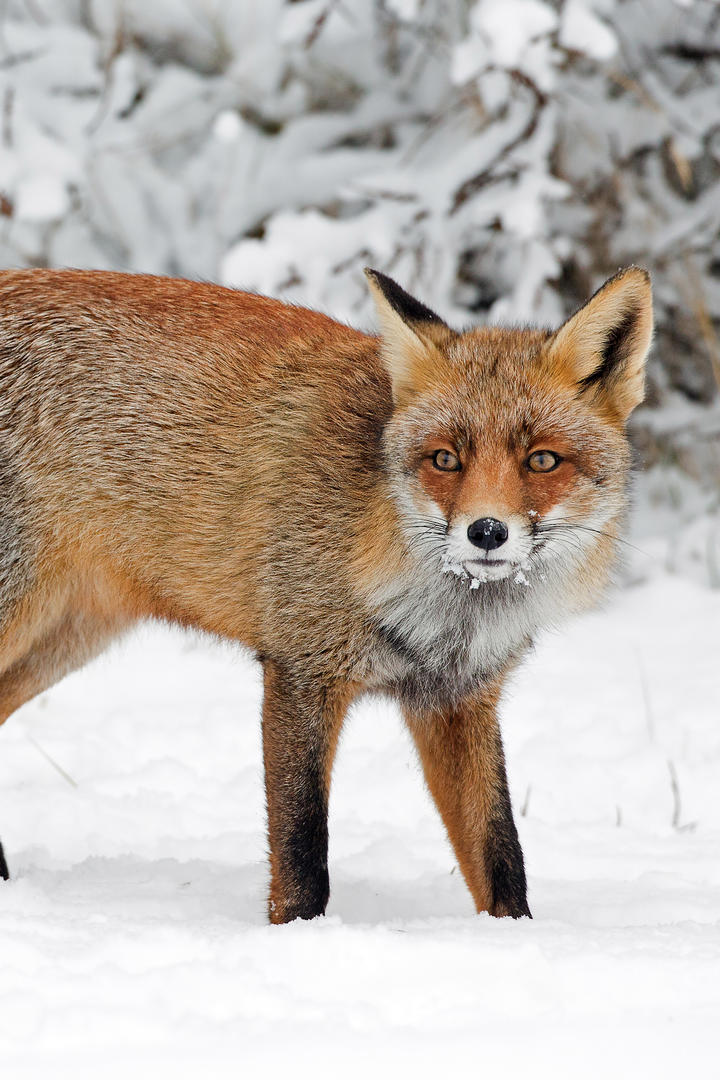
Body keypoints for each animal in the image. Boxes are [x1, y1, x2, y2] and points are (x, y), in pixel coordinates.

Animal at [0, 265, 651, 924]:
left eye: (542, 460)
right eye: (445, 458)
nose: (486, 532)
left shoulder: (457, 698)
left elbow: (502, 859)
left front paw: (513, 939)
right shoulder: (301, 671)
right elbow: (302, 854)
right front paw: (299, 936)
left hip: (65, 641)